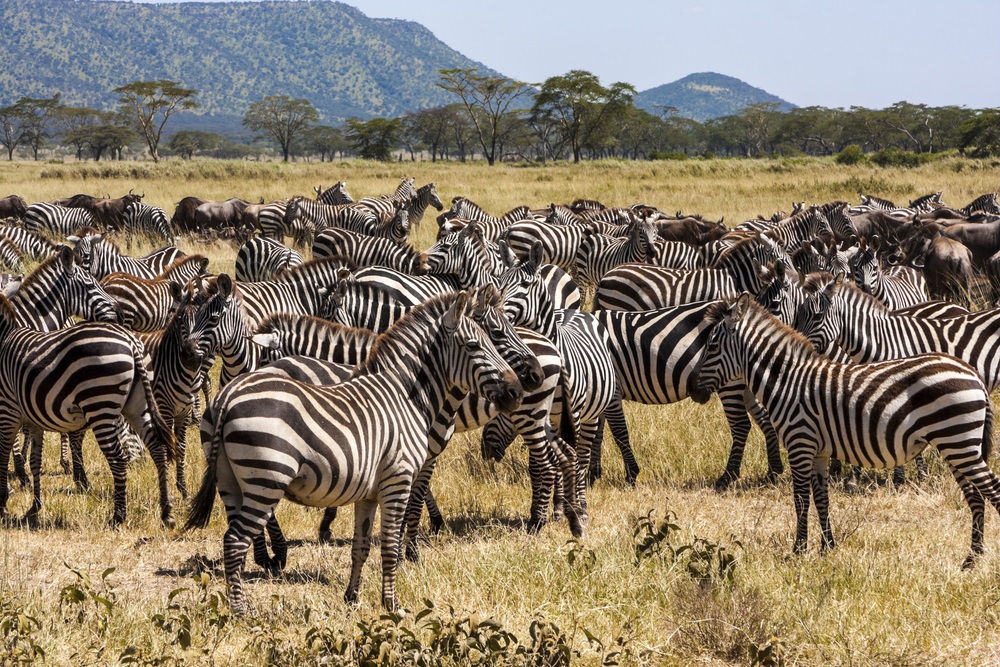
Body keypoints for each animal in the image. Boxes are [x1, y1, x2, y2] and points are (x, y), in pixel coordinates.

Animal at [188, 290, 528, 612]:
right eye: (474, 345)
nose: (518, 391)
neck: (404, 395)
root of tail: (227, 396)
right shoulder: (398, 479)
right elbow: (389, 545)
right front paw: (392, 605)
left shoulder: (368, 492)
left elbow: (361, 546)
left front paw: (352, 597)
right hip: (267, 479)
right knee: (235, 541)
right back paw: (242, 610)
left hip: (230, 482)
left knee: (233, 538)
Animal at [688, 294, 1000, 568]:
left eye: (712, 346)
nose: (693, 391)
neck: (787, 381)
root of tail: (971, 373)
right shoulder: (818, 451)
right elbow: (821, 498)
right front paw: (828, 547)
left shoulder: (800, 443)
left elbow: (800, 499)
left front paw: (799, 550)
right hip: (956, 445)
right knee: (976, 496)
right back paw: (971, 559)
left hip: (959, 442)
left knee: (991, 490)